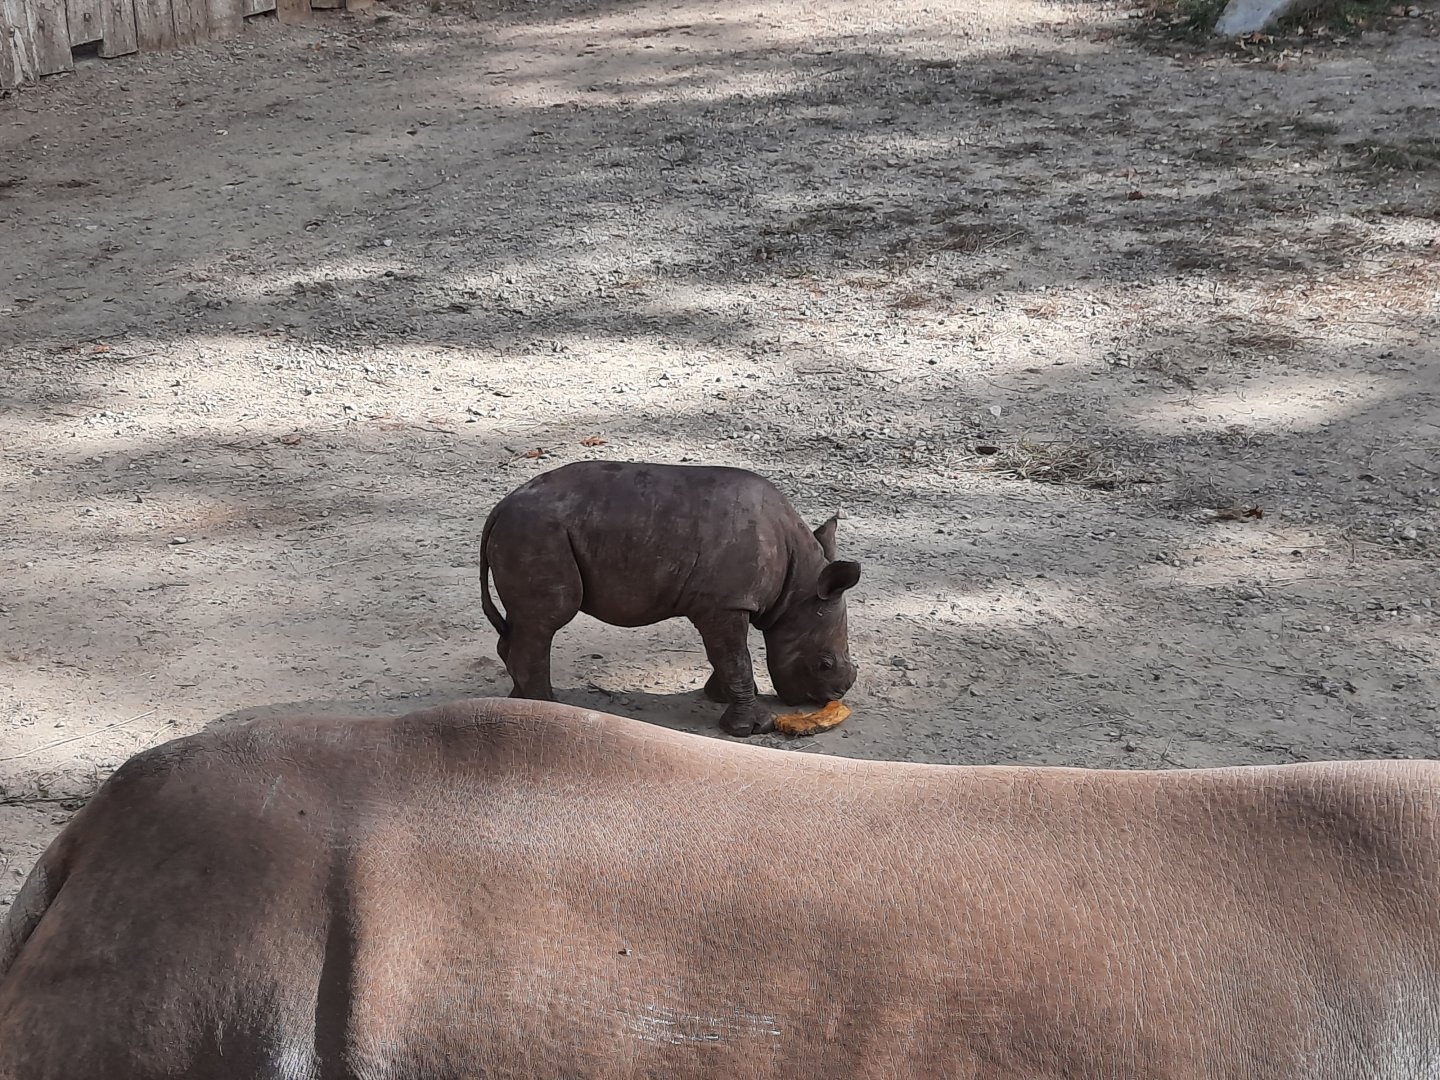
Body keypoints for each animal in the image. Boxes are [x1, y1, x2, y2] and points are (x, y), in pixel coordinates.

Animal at [479, 460, 861, 736]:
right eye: (824, 664)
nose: (832, 697)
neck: (796, 587)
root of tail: (500, 507)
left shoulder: (720, 603)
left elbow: (727, 656)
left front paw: (719, 697)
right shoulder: (726, 603)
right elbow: (735, 657)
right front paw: (751, 728)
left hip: (534, 530)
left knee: (524, 623)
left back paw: (515, 703)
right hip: (538, 531)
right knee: (547, 620)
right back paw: (546, 708)